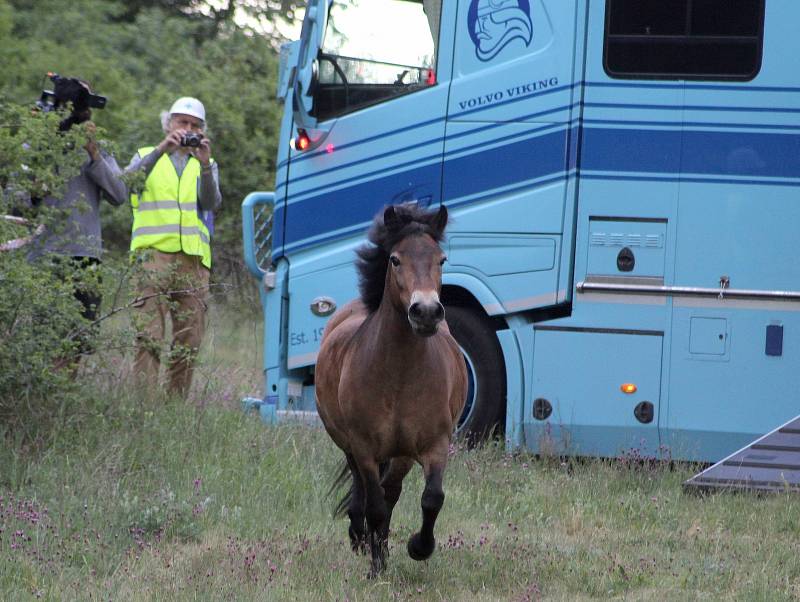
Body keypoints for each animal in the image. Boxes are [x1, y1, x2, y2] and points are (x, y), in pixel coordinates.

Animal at [314, 203, 466, 576]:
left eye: (441, 259)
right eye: (396, 259)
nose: (426, 312)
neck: (399, 377)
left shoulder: (434, 445)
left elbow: (431, 499)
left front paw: (418, 547)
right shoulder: (365, 448)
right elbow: (375, 504)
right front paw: (376, 567)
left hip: (400, 456)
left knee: (391, 492)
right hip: (350, 445)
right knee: (365, 492)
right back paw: (361, 538)